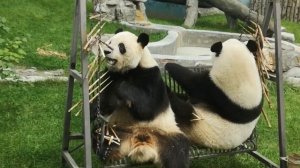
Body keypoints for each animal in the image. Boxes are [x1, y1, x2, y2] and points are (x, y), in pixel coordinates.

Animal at [91, 29, 190, 167]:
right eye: (109, 42)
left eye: (121, 47)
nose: (106, 52)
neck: (128, 71)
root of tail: (142, 142)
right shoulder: (110, 76)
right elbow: (105, 101)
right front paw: (93, 110)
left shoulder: (151, 76)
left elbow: (147, 108)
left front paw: (122, 88)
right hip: (120, 130)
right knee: (100, 133)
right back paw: (106, 150)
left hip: (165, 132)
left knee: (177, 150)